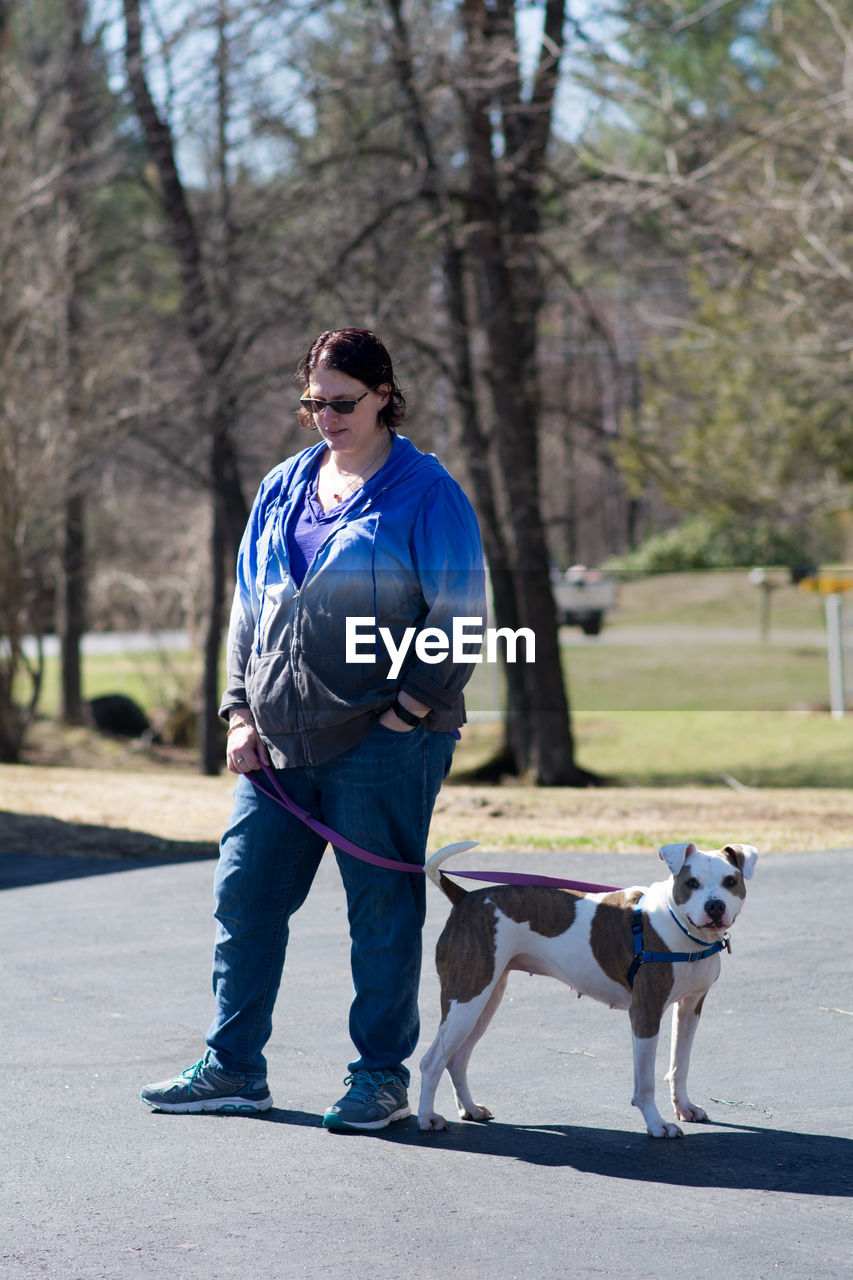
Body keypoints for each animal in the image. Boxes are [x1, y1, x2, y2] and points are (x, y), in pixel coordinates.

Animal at [414, 839, 753, 1141]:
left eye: (730, 881)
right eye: (691, 883)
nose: (715, 906)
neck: (678, 925)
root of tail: (465, 898)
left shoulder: (690, 1008)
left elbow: (679, 1065)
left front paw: (684, 1107)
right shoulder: (645, 1012)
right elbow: (645, 1082)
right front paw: (657, 1125)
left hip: (484, 1001)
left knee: (457, 1059)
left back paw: (470, 1109)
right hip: (466, 999)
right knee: (432, 1061)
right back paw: (427, 1118)